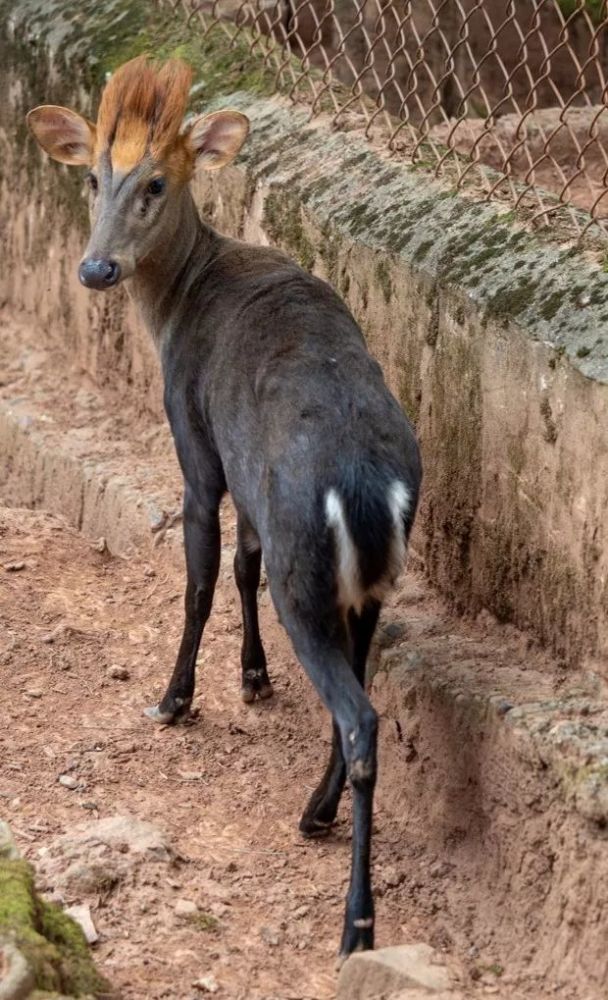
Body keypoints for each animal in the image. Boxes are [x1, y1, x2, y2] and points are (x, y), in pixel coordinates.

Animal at [28, 56, 422, 960]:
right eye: (94, 176)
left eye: (156, 182)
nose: (95, 269)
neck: (182, 297)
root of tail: (365, 483)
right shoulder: (253, 484)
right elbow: (240, 567)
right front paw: (252, 678)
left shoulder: (199, 445)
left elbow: (201, 579)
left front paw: (174, 699)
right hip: (364, 581)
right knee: (359, 684)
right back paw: (315, 813)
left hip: (304, 565)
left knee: (361, 715)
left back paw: (356, 924)